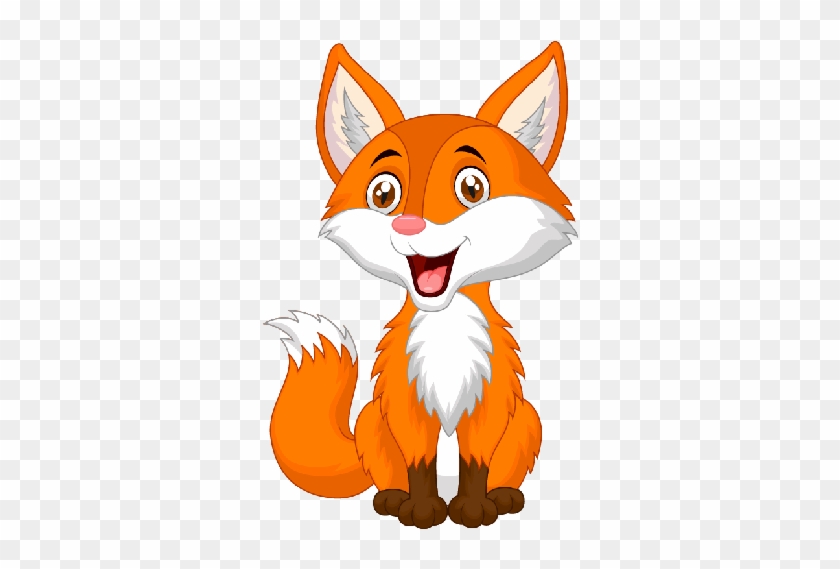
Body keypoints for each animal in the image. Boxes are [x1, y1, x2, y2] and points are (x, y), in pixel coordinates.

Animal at [266, 42, 576, 529]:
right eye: (384, 194)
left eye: (472, 187)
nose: (408, 225)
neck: (445, 329)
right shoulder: (405, 404)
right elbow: (420, 465)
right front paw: (423, 508)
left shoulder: (487, 404)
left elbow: (474, 464)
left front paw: (472, 507)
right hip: (372, 420)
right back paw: (391, 498)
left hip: (527, 419)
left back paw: (504, 496)